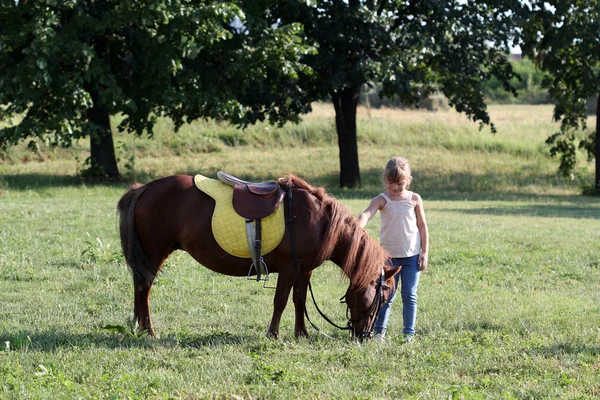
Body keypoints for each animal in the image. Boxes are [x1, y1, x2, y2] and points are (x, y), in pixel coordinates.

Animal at [118, 173, 398, 340]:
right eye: (382, 297)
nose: (364, 336)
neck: (318, 220)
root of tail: (144, 188)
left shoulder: (303, 270)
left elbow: (299, 301)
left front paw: (302, 333)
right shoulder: (289, 268)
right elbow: (281, 301)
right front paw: (273, 334)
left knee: (140, 287)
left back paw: (139, 326)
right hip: (154, 253)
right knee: (144, 288)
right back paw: (149, 329)